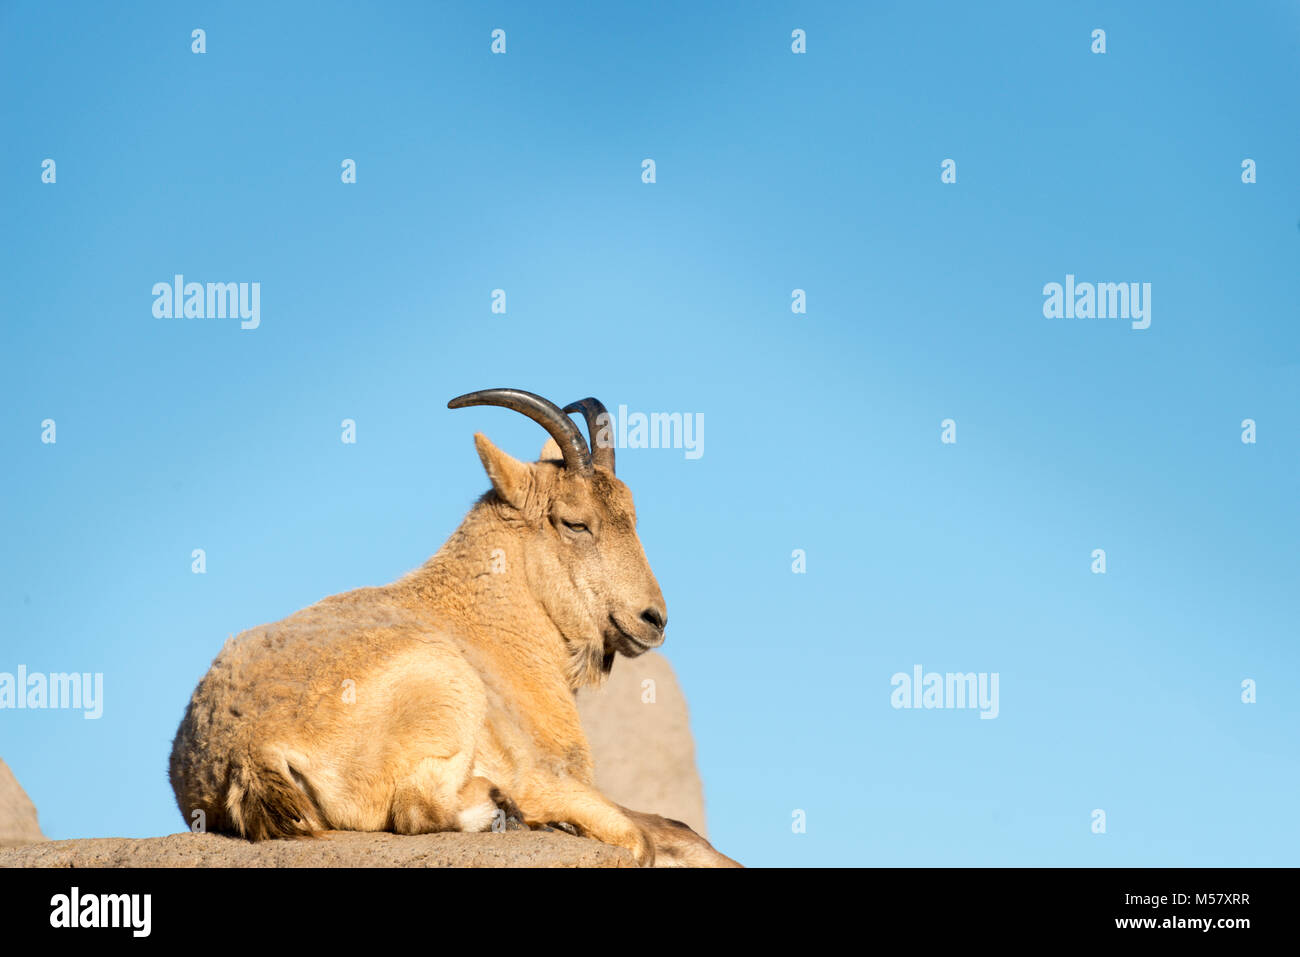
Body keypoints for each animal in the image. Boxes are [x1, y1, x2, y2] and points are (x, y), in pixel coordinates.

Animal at [170, 387, 743, 868]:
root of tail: (249, 748)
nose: (653, 620)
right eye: (575, 522)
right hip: (446, 688)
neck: (491, 625)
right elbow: (642, 836)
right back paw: (505, 809)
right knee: (420, 808)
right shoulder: (544, 771)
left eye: (632, 515)